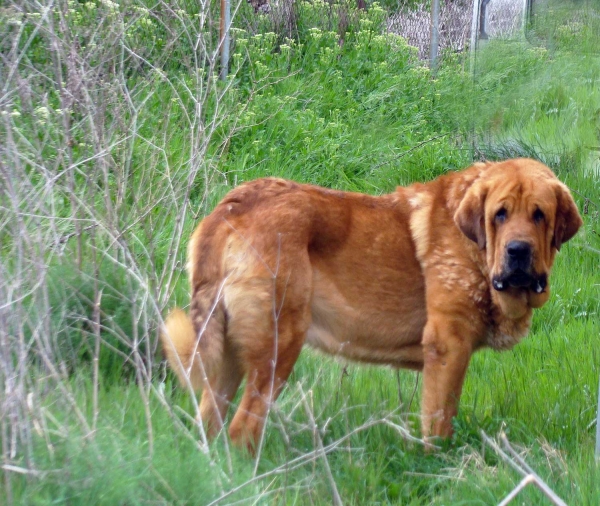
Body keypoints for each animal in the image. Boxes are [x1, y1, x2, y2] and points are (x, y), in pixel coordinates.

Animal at [161, 158, 580, 450]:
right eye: (500, 214)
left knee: (210, 424)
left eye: (539, 215)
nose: (518, 251)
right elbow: (439, 424)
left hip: (227, 358)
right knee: (242, 429)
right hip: (278, 348)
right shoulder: (448, 349)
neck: (475, 250)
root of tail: (231, 207)